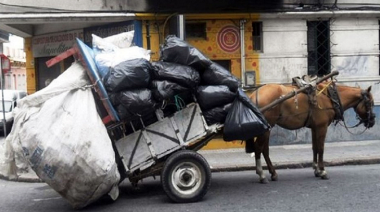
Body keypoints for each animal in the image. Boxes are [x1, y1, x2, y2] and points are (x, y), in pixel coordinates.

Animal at [248, 81, 376, 184]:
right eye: (370, 103)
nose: (373, 121)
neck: (329, 97)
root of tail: (254, 94)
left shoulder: (315, 127)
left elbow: (315, 148)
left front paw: (316, 169)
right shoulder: (322, 127)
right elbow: (321, 149)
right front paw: (323, 171)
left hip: (268, 127)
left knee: (264, 150)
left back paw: (273, 173)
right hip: (266, 127)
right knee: (259, 148)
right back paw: (262, 175)